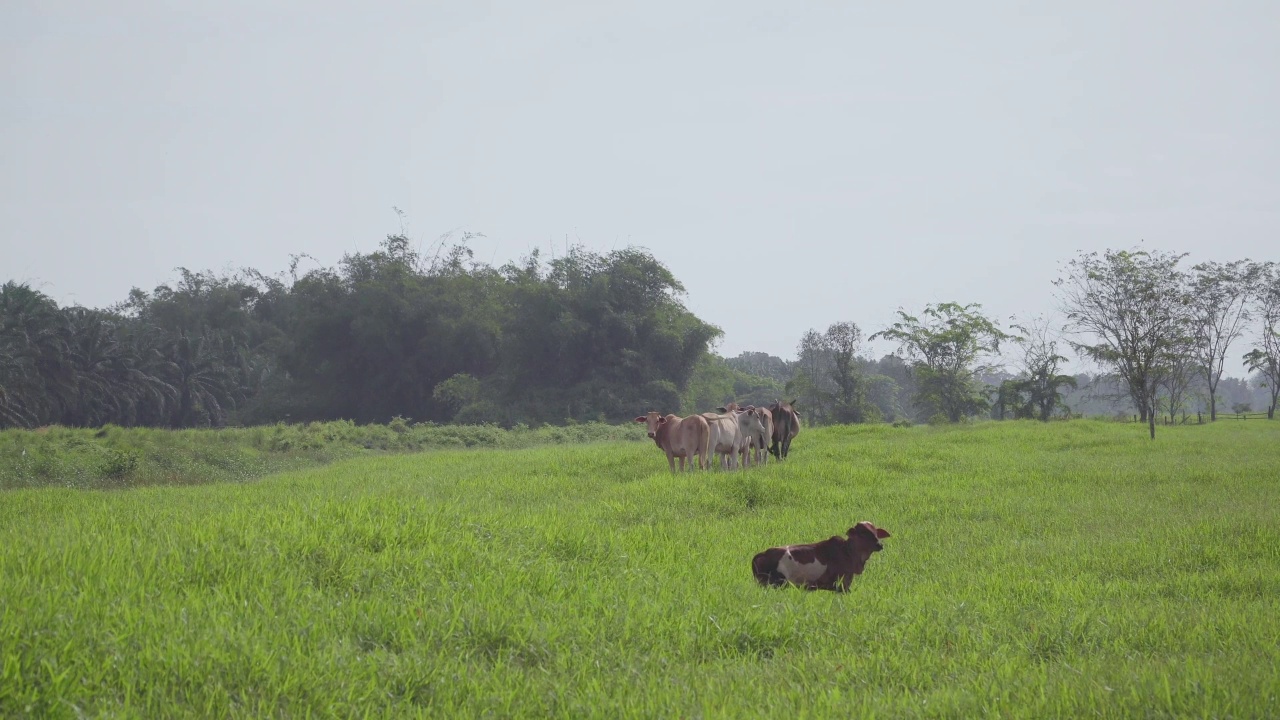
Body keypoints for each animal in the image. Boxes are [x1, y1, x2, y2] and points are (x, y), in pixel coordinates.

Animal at [747, 517, 890, 591]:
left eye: (875, 532)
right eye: (863, 533)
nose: (879, 544)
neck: (848, 552)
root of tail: (763, 554)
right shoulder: (842, 583)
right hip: (778, 583)